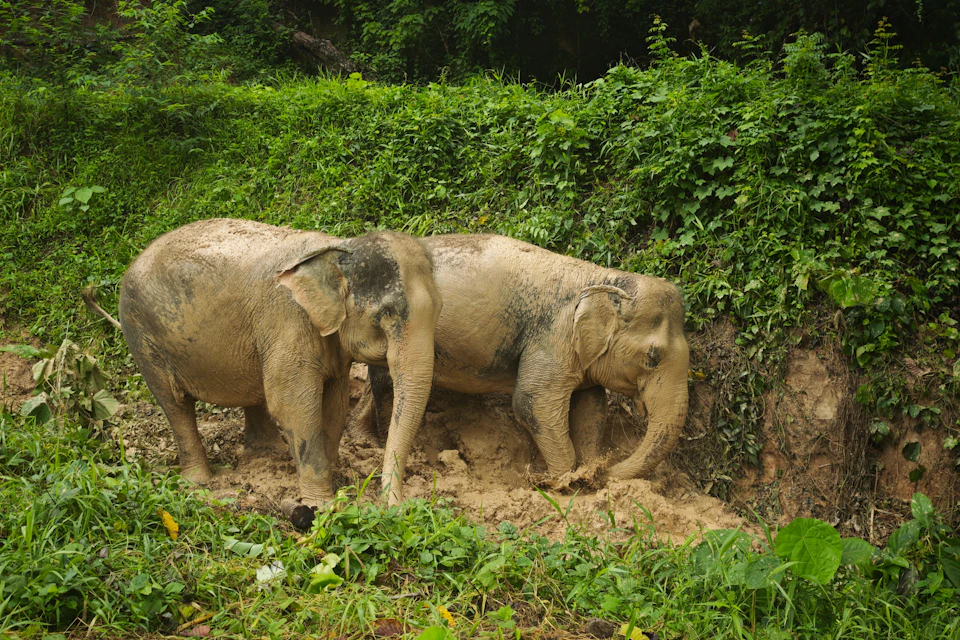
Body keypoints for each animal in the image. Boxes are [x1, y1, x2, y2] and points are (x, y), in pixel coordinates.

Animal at [86, 218, 441, 506]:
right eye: (386, 315)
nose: (395, 507)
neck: (338, 248)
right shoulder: (288, 320)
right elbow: (293, 406)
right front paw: (322, 504)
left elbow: (335, 404)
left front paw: (336, 481)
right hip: (142, 335)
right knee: (175, 404)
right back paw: (200, 483)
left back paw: (266, 456)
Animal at [359, 234, 689, 483]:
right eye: (652, 357)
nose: (609, 472)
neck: (601, 277)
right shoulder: (552, 336)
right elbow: (532, 402)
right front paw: (563, 481)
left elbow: (590, 408)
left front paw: (588, 470)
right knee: (388, 385)